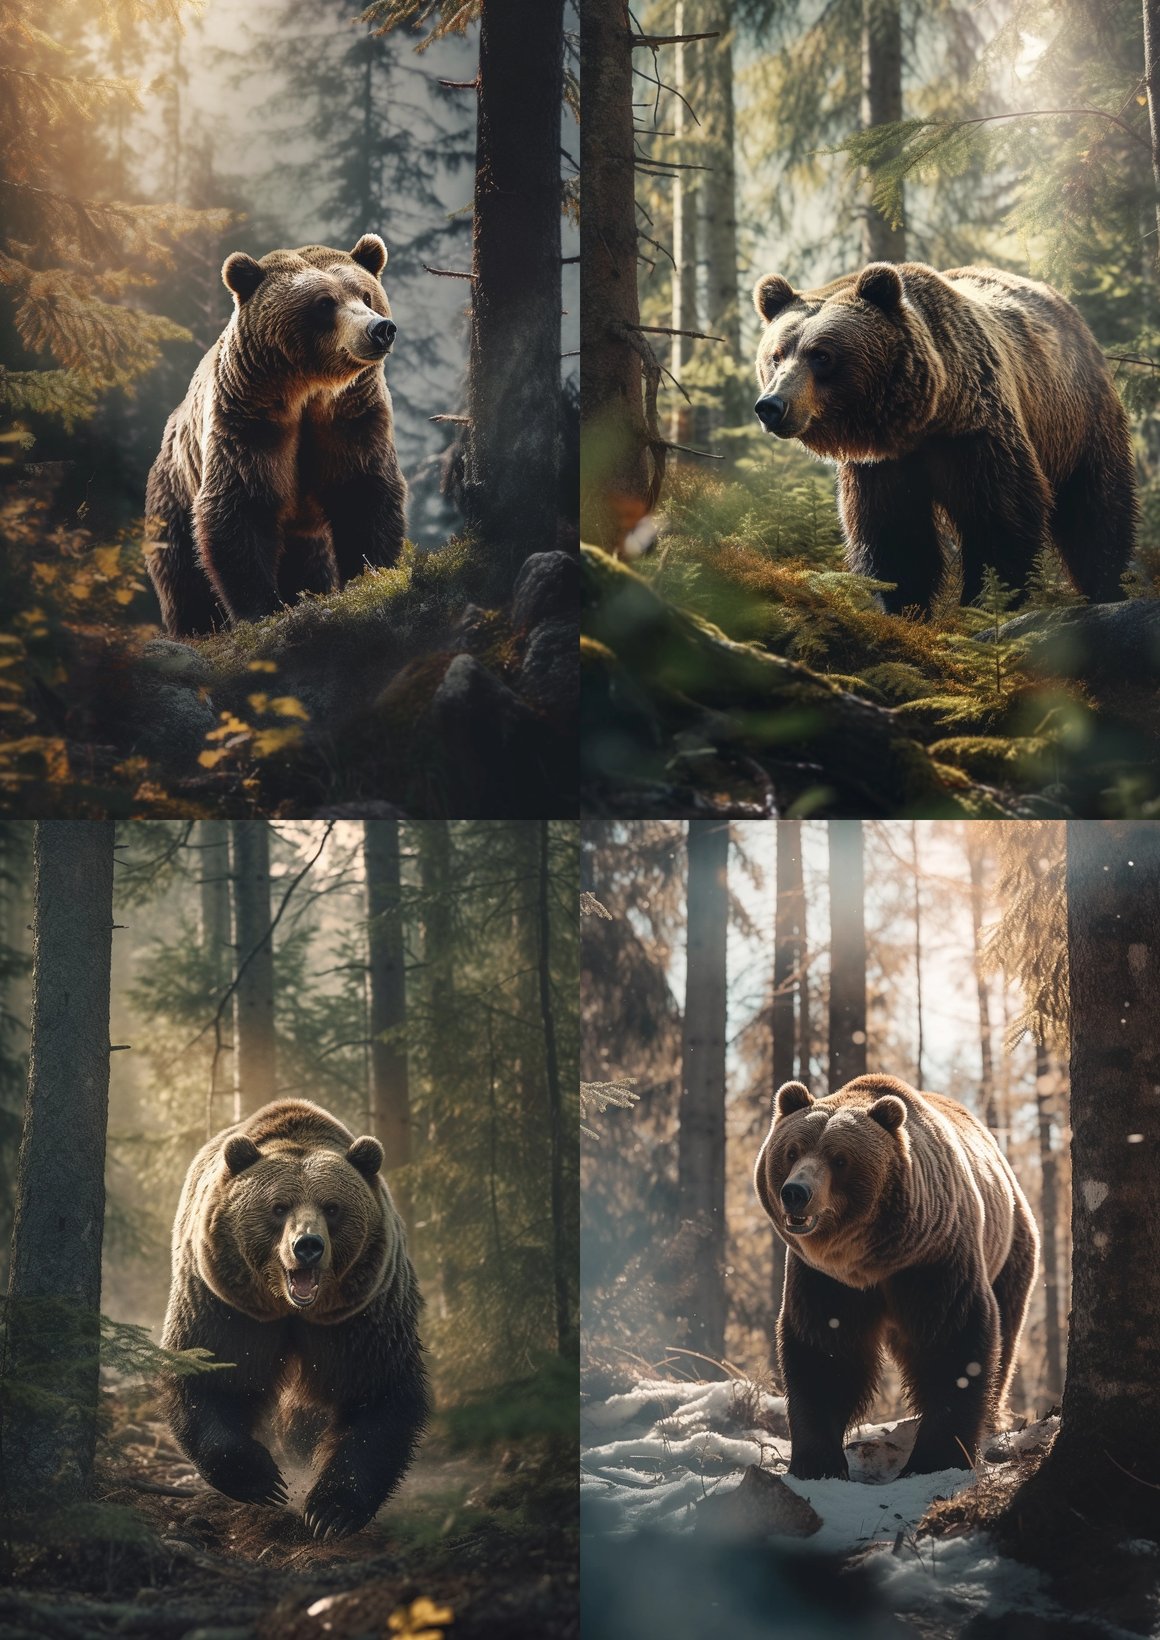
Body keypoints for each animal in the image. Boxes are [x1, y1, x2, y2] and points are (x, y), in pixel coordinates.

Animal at [145, 234, 407, 637]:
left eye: (366, 295)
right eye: (324, 302)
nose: (380, 328)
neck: (308, 391)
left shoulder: (352, 416)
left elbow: (363, 491)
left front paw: (372, 573)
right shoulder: (249, 420)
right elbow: (240, 505)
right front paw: (261, 609)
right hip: (173, 493)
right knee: (182, 575)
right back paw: (196, 627)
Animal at [160, 1098, 429, 1539]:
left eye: (332, 1207)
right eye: (278, 1206)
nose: (308, 1246)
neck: (289, 1310)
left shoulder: (360, 1318)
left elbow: (377, 1393)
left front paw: (331, 1511)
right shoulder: (226, 1306)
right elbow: (208, 1374)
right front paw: (262, 1480)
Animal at [752, 261, 1136, 614]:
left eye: (822, 354)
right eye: (776, 355)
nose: (772, 405)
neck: (919, 422)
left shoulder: (973, 433)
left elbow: (1002, 515)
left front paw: (985, 602)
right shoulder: (881, 465)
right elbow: (892, 534)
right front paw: (903, 605)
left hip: (1077, 417)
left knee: (1096, 504)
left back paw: (1107, 587)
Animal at [753, 1074, 1038, 1480]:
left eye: (840, 1159)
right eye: (792, 1151)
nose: (795, 1192)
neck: (870, 1261)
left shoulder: (934, 1259)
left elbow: (954, 1342)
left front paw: (934, 1459)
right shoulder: (825, 1280)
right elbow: (823, 1354)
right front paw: (817, 1462)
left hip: (1010, 1245)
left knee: (1007, 1333)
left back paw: (993, 1420)